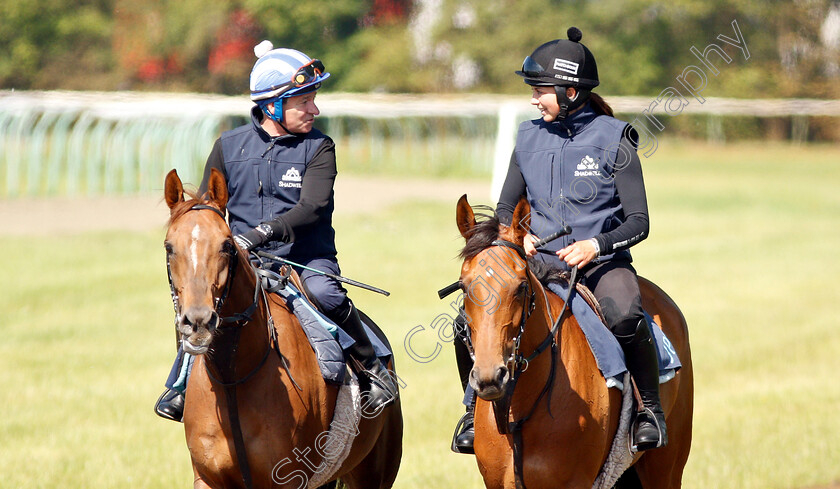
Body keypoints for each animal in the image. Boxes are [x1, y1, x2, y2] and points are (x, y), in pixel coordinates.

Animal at [163, 169, 404, 488]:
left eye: (227, 245)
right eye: (169, 247)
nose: (198, 321)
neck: (233, 377)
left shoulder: (288, 478)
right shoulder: (207, 478)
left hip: (373, 473)